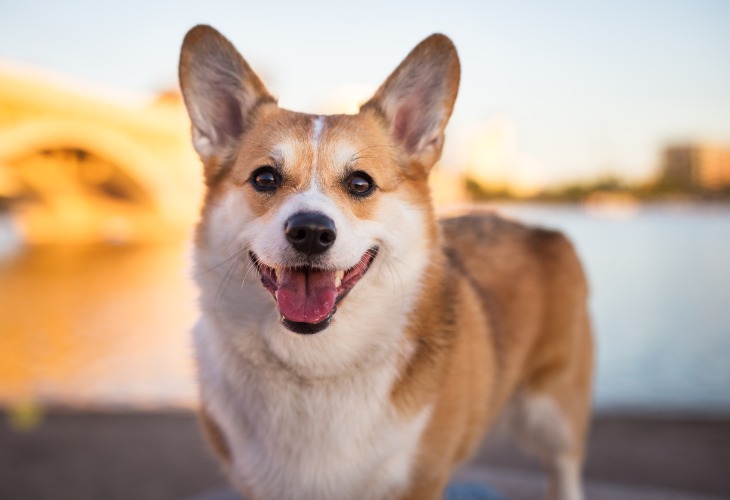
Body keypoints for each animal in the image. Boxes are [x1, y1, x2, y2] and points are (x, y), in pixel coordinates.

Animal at [176, 24, 592, 500]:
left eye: (360, 183)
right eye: (265, 178)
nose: (311, 232)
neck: (315, 365)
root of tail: (542, 231)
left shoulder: (421, 482)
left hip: (555, 415)